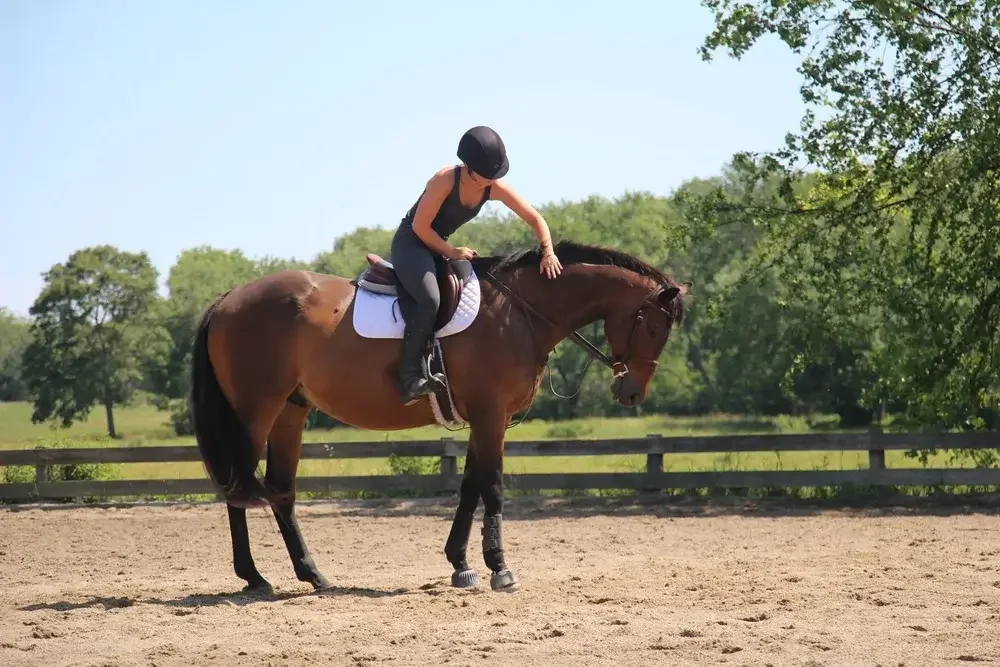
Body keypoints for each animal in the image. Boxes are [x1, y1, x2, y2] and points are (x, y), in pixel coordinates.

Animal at [189, 239, 689, 594]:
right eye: (652, 326)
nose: (631, 392)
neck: (518, 311)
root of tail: (228, 298)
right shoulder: (491, 415)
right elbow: (492, 486)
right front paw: (500, 568)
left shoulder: (484, 420)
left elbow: (469, 486)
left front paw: (461, 564)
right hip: (254, 412)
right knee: (237, 488)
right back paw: (254, 577)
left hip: (291, 412)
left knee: (280, 492)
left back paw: (313, 575)